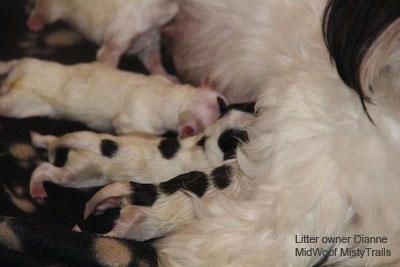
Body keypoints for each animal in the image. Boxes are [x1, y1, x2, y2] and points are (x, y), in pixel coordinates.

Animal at [0, 58, 227, 138]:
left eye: (222, 101)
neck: (178, 98)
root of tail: (16, 79)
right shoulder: (132, 121)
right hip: (22, 101)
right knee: (6, 104)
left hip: (31, 66)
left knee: (16, 61)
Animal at [26, 0, 178, 80]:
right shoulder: (116, 41)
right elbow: (107, 61)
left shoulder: (150, 44)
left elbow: (155, 63)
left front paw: (168, 78)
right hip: (51, 10)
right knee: (39, 9)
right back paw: (34, 23)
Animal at [28, 108, 253, 200]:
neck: (206, 141)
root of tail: (91, 143)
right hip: (80, 174)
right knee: (46, 169)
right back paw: (37, 188)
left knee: (52, 140)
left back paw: (37, 137)